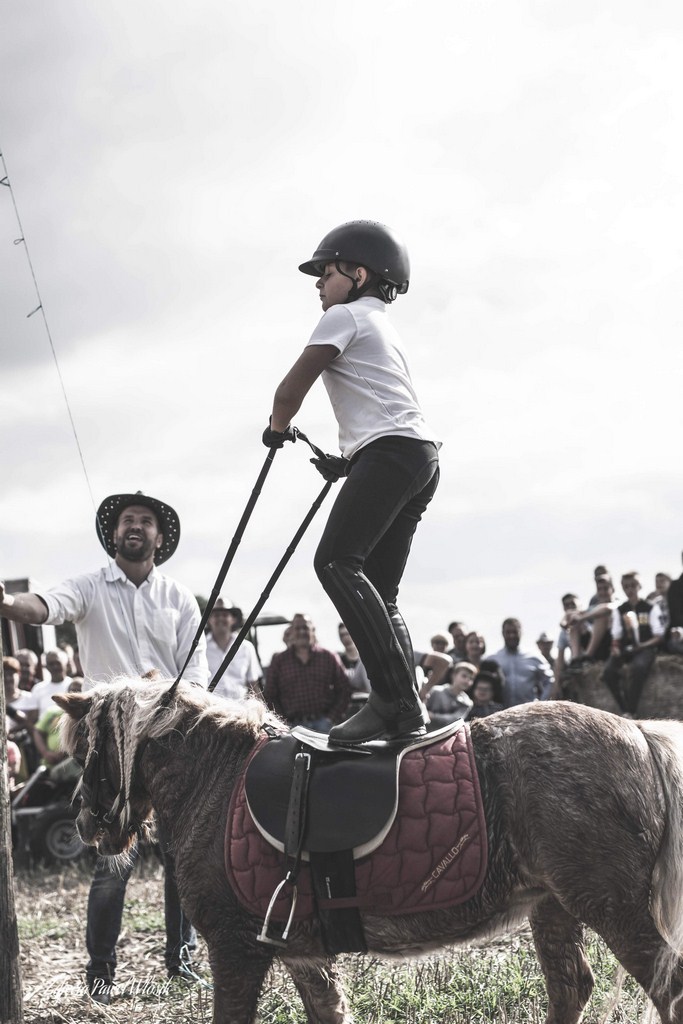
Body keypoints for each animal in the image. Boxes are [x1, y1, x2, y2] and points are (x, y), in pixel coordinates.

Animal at [54, 679, 683, 1024]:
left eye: (86, 748)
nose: (82, 818)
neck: (216, 775)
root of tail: (639, 734)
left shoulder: (235, 951)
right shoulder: (301, 955)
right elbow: (328, 1010)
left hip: (610, 906)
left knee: (664, 987)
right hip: (553, 905)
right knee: (570, 987)